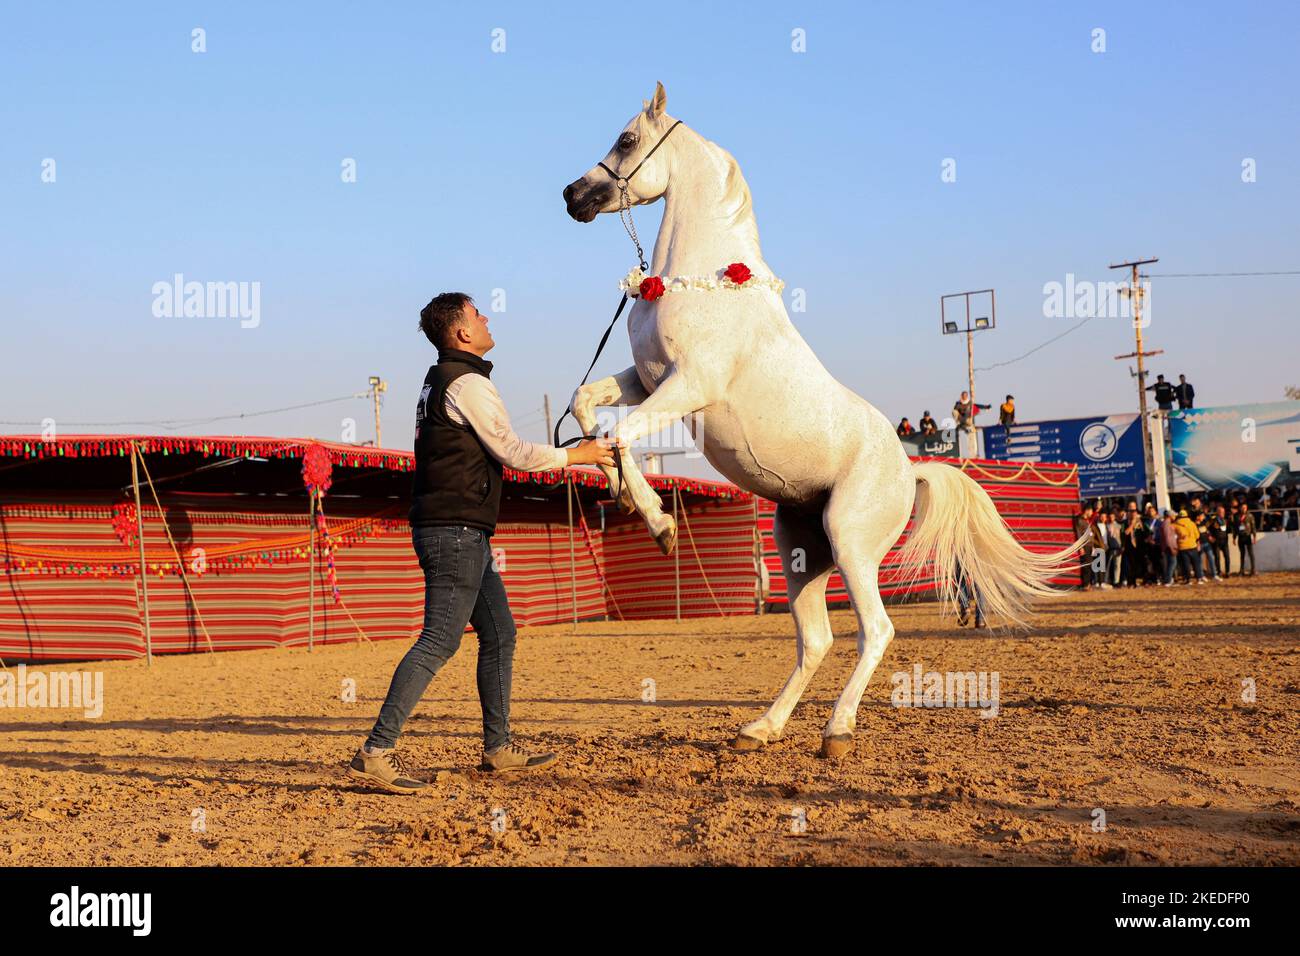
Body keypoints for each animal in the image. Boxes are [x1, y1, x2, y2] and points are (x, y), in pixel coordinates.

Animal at [559, 82, 1076, 759]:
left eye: (625, 140)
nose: (573, 196)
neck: (707, 283)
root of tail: (909, 470)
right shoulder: (645, 380)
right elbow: (586, 406)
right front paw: (623, 497)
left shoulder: (686, 386)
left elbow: (619, 434)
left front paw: (661, 525)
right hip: (801, 552)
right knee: (817, 639)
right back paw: (760, 728)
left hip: (852, 543)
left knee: (875, 631)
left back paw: (836, 731)